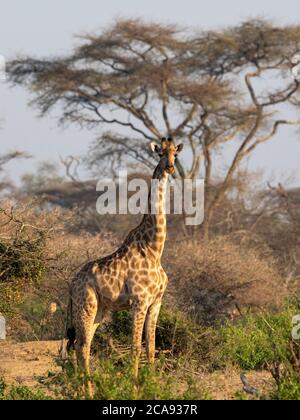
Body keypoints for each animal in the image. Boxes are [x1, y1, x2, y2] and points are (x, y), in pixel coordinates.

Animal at [64, 137, 184, 390]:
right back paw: (86, 390)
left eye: (175, 154)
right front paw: (135, 387)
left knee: (83, 345)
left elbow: (151, 348)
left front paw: (152, 386)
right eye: (160, 154)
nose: (170, 168)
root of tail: (71, 284)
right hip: (86, 304)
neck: (154, 248)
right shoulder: (139, 301)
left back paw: (85, 389)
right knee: (81, 345)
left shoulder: (156, 303)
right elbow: (135, 347)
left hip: (100, 310)